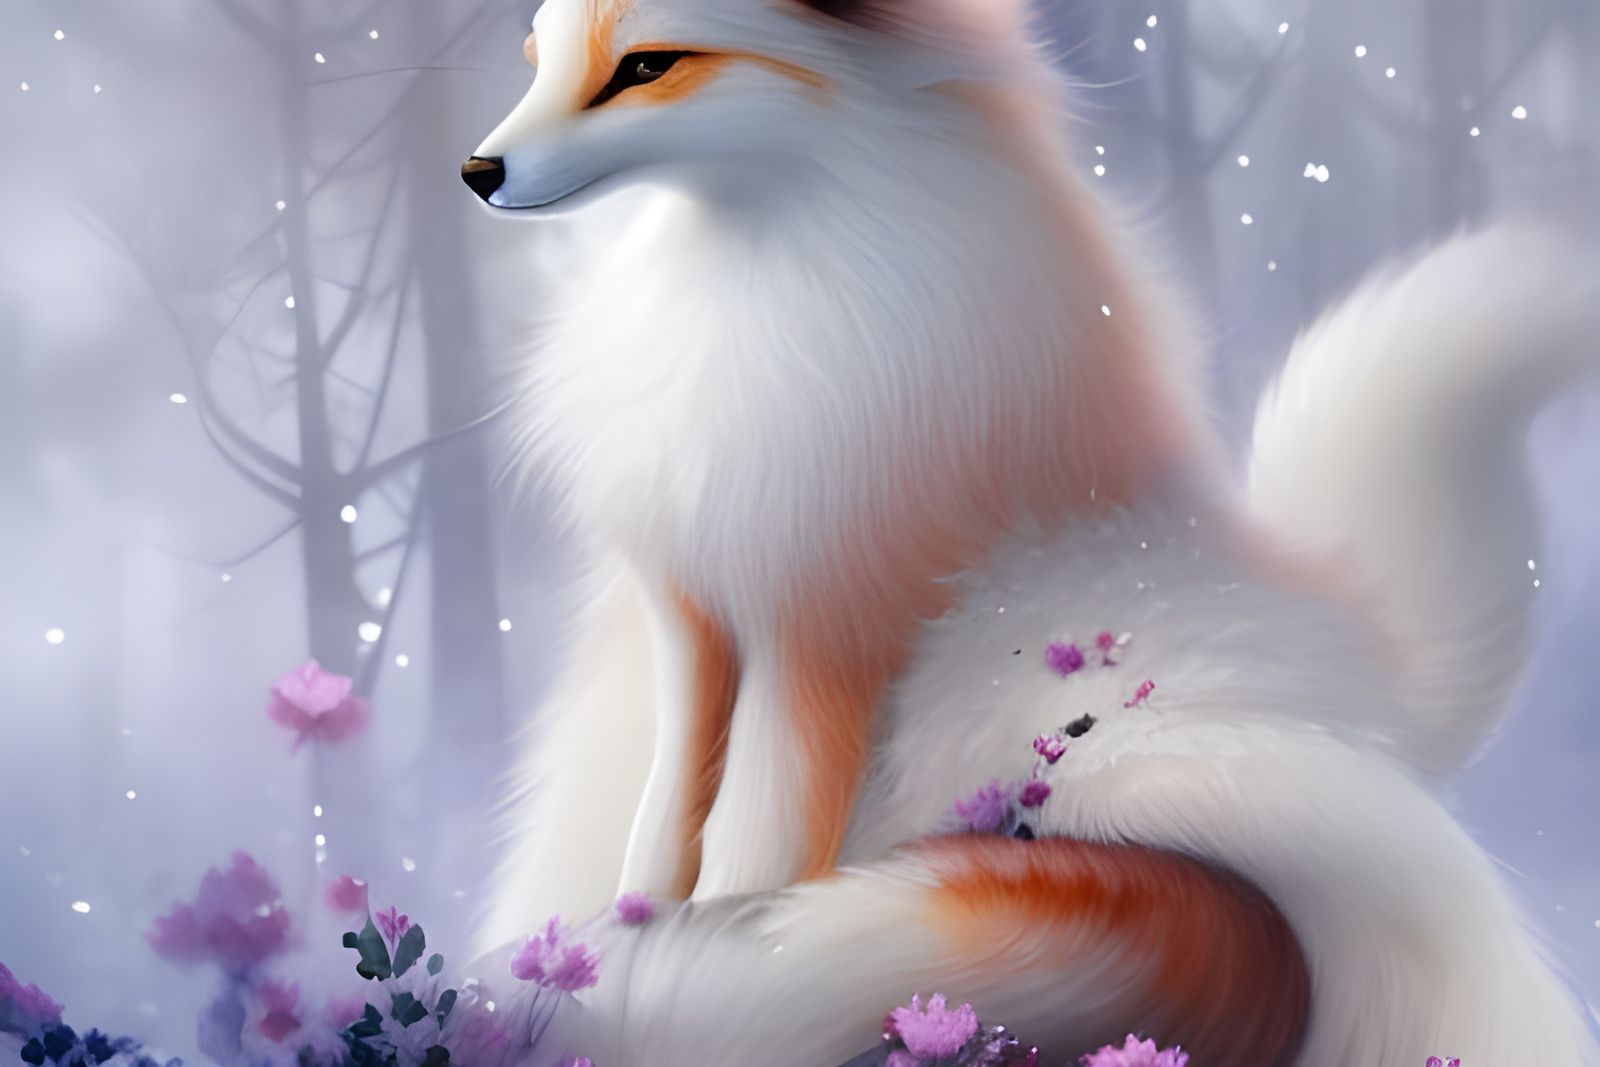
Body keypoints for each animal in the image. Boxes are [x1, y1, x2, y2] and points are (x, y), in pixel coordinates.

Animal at [458, 0, 1600, 1059]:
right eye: (539, 60)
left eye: (647, 66)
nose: (475, 170)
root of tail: (1358, 670)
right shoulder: (693, 608)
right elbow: (665, 822)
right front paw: (628, 922)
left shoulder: (818, 625)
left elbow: (756, 844)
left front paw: (682, 935)